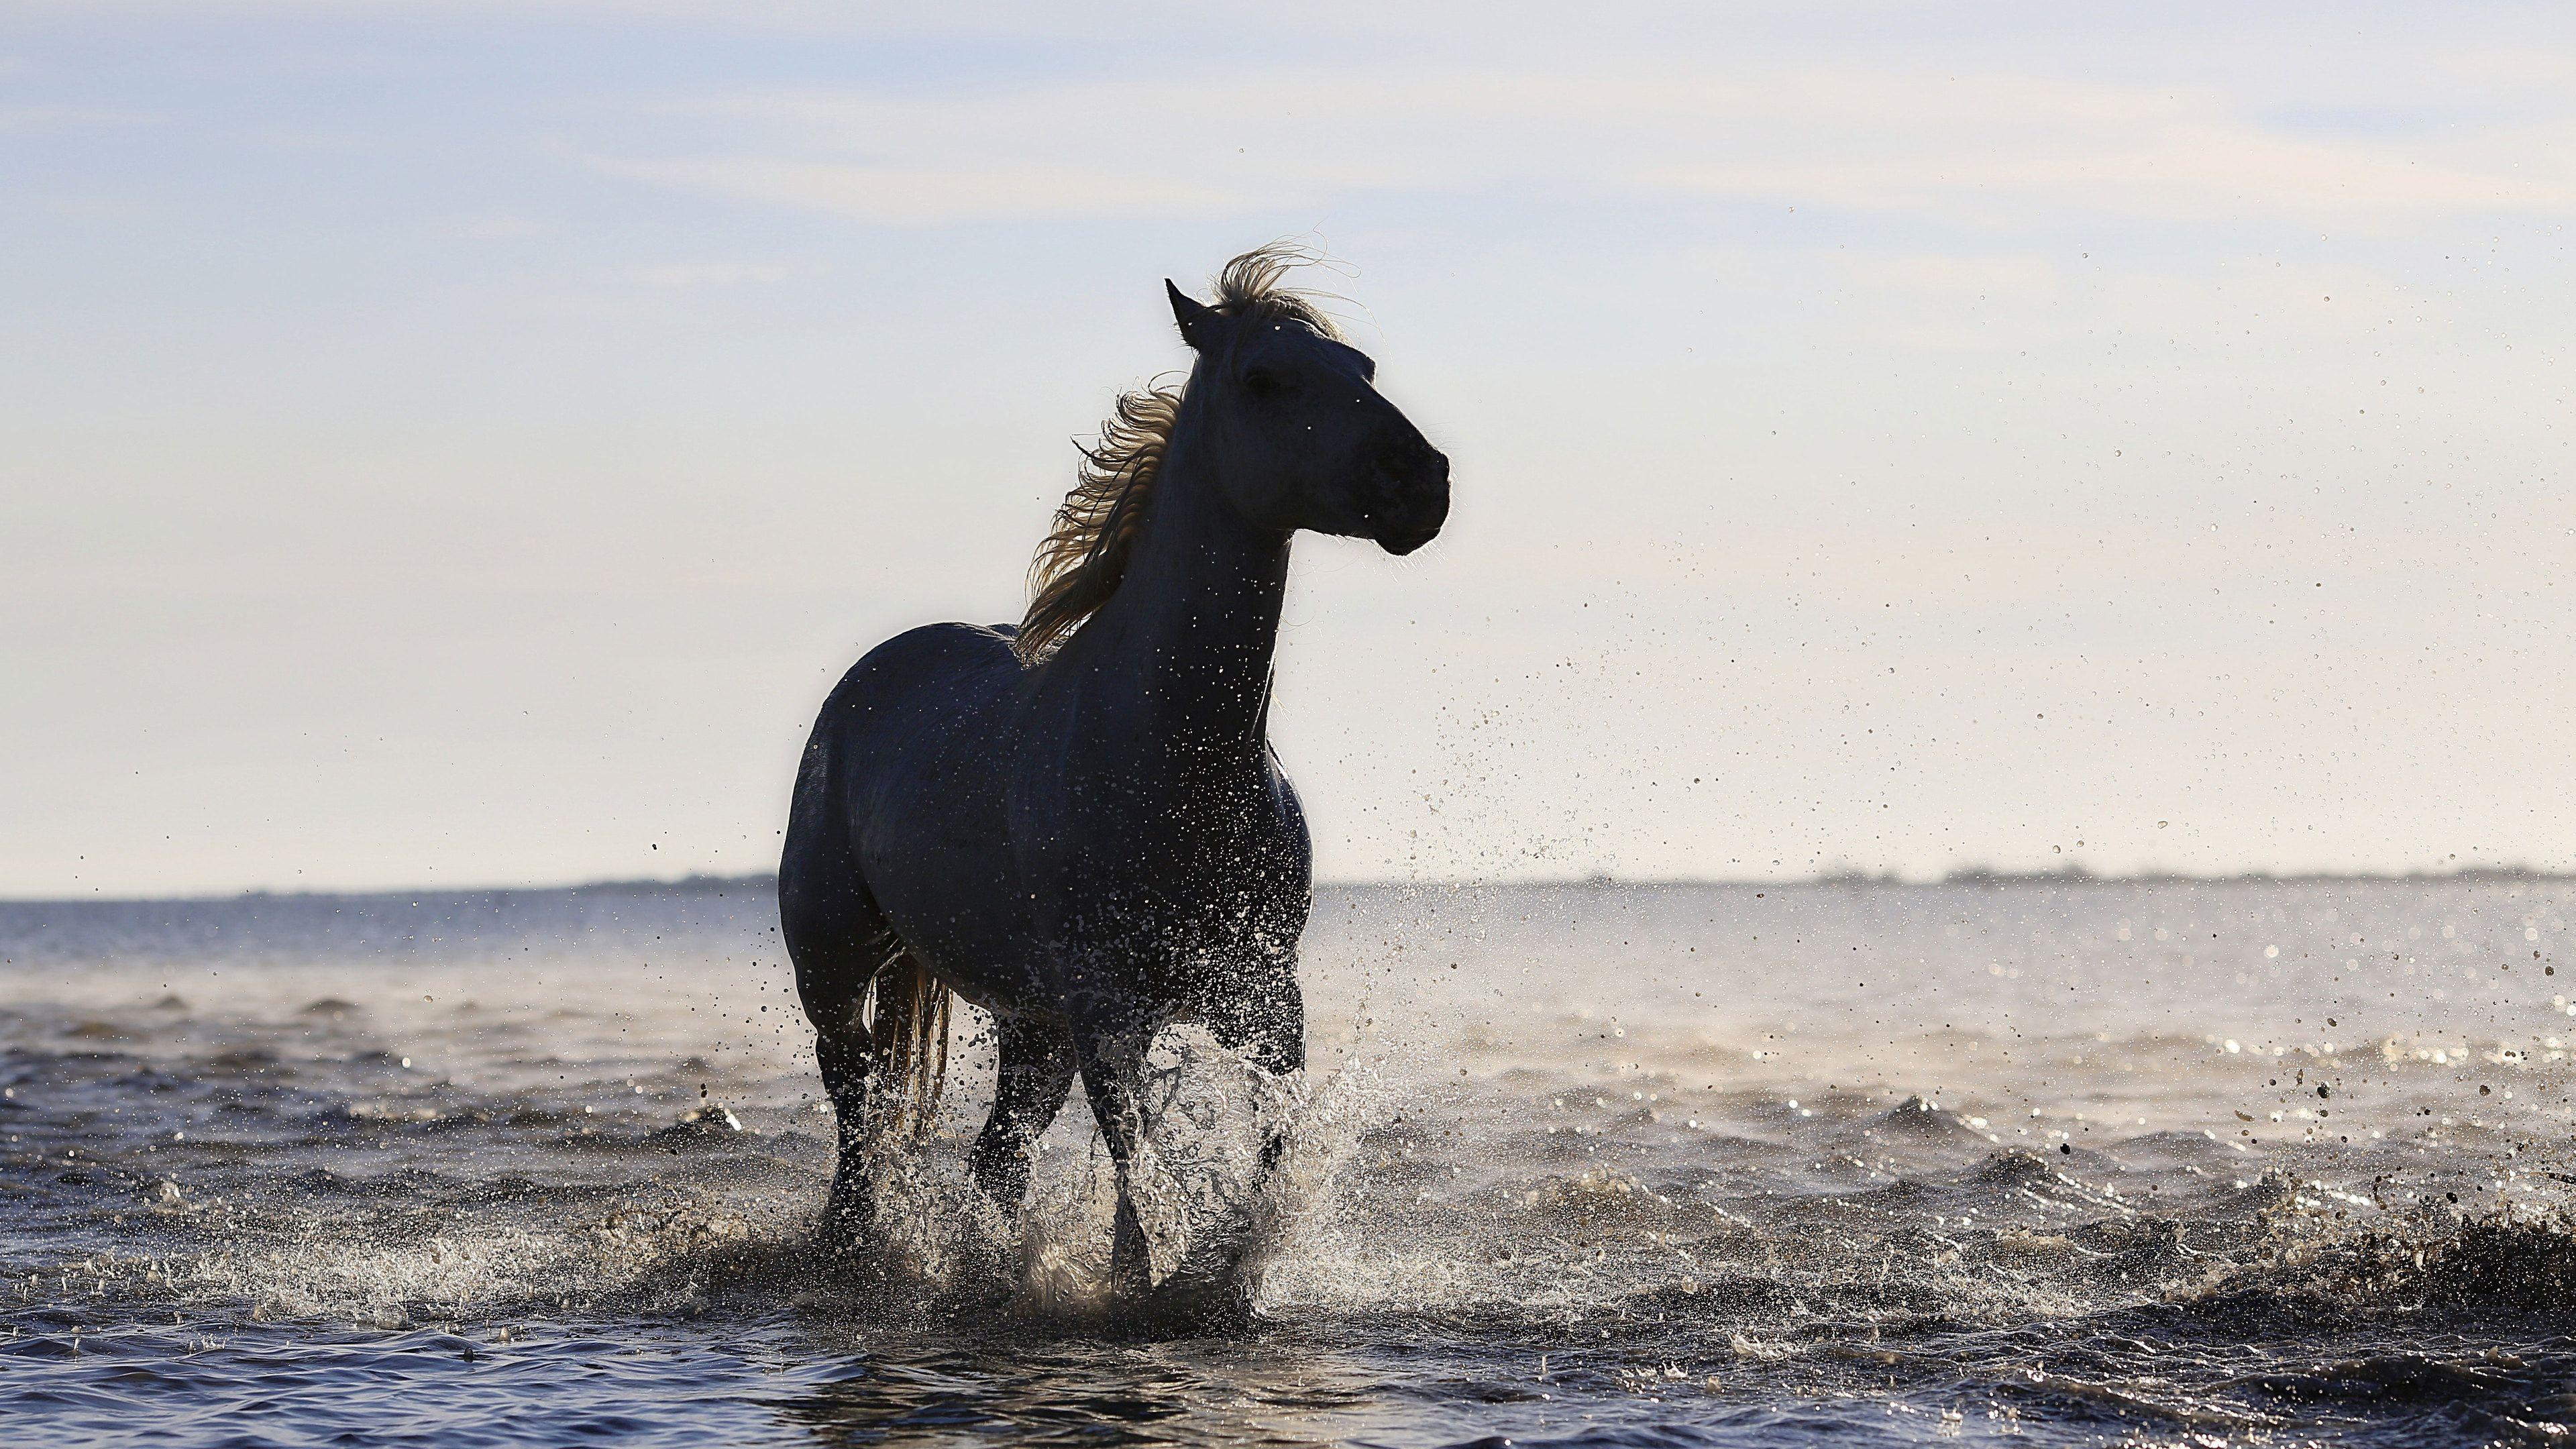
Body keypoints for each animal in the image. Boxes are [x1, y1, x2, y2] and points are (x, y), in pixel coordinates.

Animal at [778, 245, 1450, 1308]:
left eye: (1365, 368)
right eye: (1267, 379)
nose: (1421, 481)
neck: (1176, 760)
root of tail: (869, 677)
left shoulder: (1263, 998)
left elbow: (1266, 1147)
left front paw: (1226, 1274)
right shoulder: (1108, 1010)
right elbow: (1138, 1162)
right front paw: (1148, 1281)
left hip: (1030, 1027)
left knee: (995, 1158)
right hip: (837, 967)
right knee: (860, 1124)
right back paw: (854, 1252)